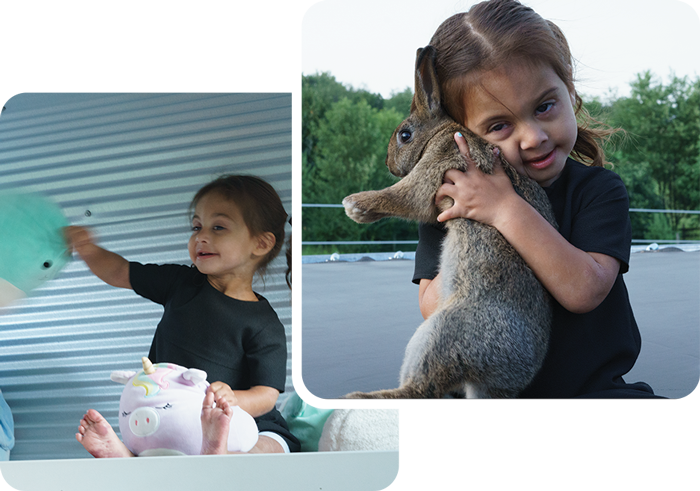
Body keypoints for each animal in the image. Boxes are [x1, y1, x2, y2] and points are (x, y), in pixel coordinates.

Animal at [342, 47, 556, 400]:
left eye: (404, 135)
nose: (389, 164)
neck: (442, 133)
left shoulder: (436, 169)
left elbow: (402, 196)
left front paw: (355, 206)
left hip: (441, 334)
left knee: (420, 389)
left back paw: (360, 397)